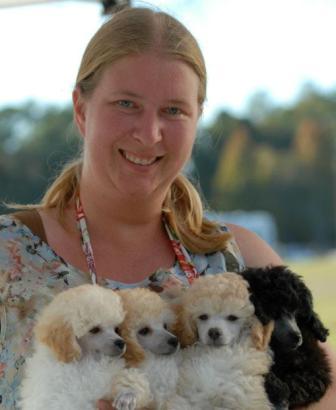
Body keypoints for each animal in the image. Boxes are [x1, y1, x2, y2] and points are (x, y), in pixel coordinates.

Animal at [20, 286, 152, 410]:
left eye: (116, 329)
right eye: (94, 330)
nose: (121, 343)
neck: (86, 361)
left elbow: (131, 377)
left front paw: (127, 396)